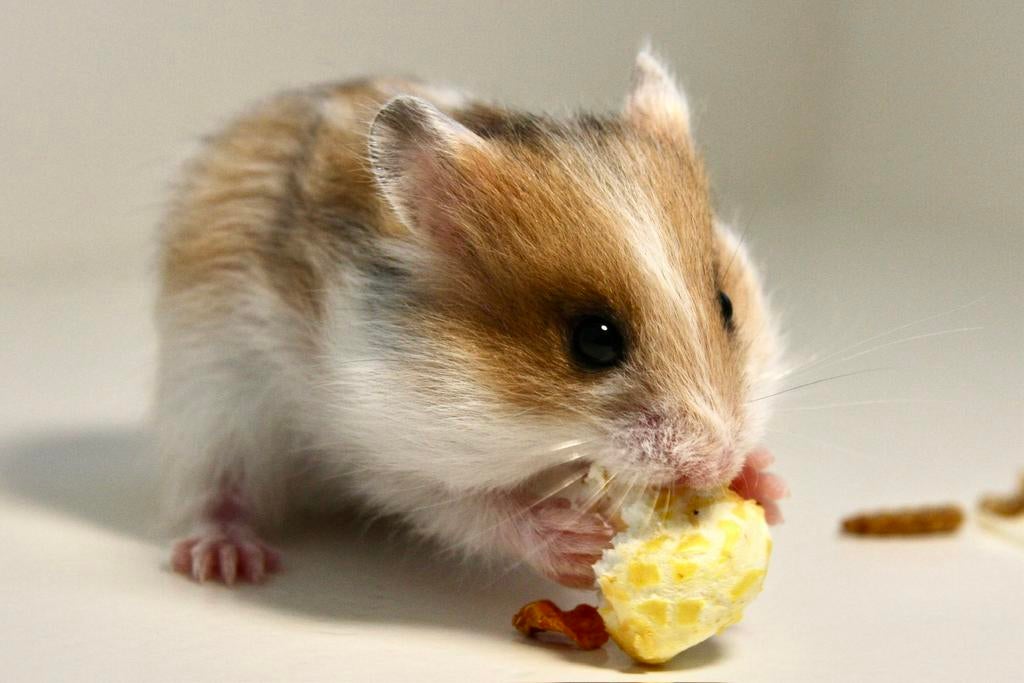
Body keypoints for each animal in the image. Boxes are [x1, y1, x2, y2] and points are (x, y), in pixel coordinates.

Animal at [155, 49, 787, 588]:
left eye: (727, 305)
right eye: (594, 341)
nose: (716, 462)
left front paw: (767, 485)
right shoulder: (378, 444)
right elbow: (468, 506)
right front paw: (577, 545)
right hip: (206, 402)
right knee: (212, 491)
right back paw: (227, 561)